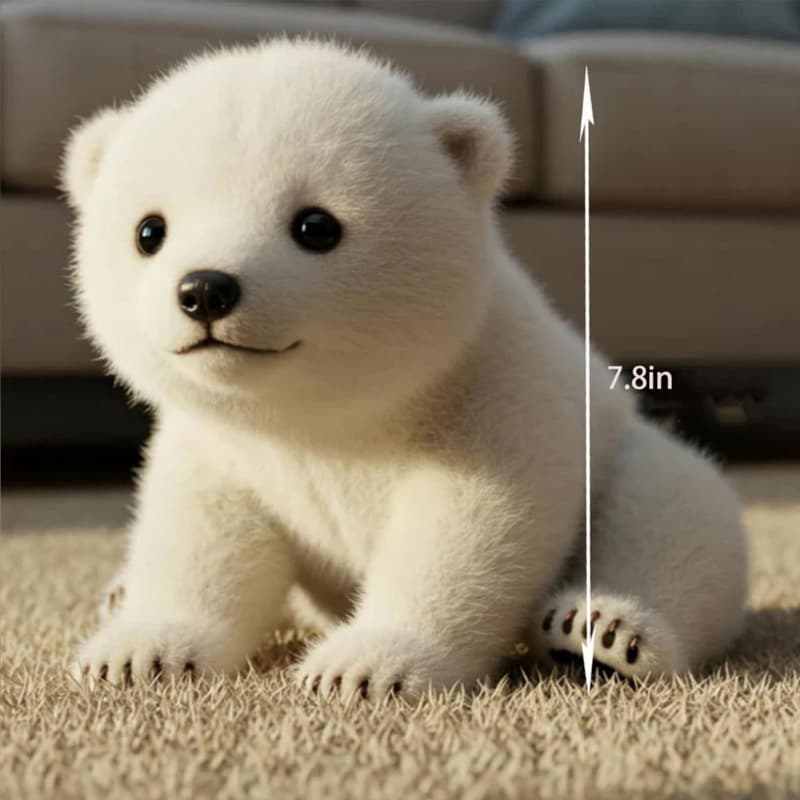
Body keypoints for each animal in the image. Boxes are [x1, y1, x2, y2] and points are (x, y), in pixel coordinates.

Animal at [63, 40, 747, 698]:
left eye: (316, 225)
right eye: (149, 231)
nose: (205, 289)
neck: (326, 416)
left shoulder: (492, 390)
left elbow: (466, 527)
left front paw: (363, 666)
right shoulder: (224, 443)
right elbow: (203, 530)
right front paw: (139, 652)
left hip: (618, 453)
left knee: (673, 516)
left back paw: (600, 632)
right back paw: (119, 593)